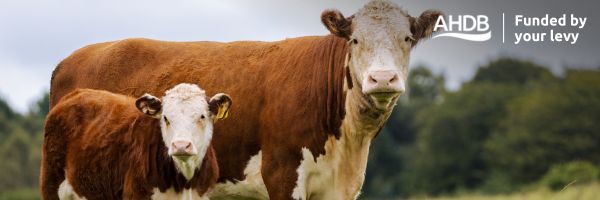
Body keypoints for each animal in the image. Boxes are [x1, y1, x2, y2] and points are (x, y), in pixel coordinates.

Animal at [40, 83, 232, 199]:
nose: (181, 146)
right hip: (51, 186)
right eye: (165, 118)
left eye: (202, 116)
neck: (184, 182)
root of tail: (76, 93)